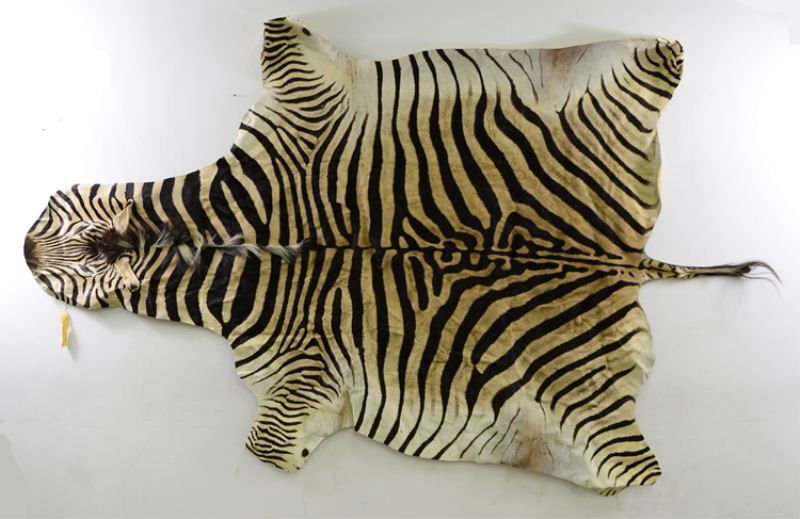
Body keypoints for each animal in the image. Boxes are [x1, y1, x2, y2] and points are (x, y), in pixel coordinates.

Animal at [23, 17, 772, 494]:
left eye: (52, 214)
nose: (24, 247)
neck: (225, 239)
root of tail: (624, 258)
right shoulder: (304, 378)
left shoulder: (298, 95)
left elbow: (269, 447)